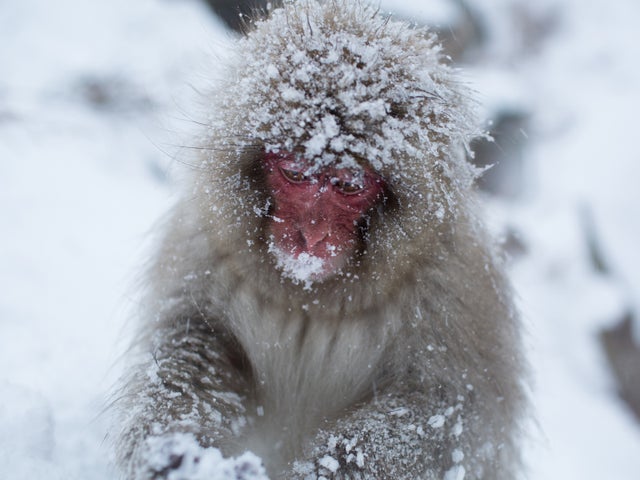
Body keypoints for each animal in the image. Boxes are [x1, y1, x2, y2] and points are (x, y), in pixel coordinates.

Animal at [113, 1, 527, 479]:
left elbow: (445, 412)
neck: (312, 297)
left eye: (347, 185)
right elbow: (194, 345)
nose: (310, 235)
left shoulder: (455, 284)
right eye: (295, 174)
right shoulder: (206, 247)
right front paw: (181, 453)